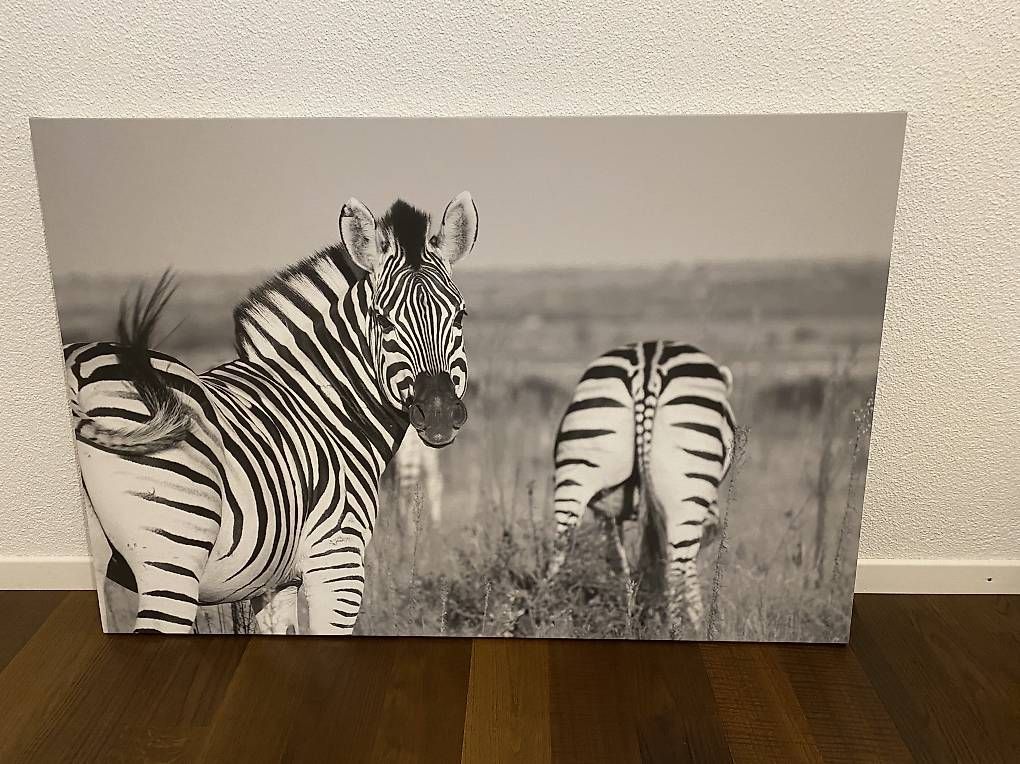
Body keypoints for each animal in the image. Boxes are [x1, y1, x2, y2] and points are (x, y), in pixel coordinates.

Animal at [65, 193, 478, 635]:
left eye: (460, 315)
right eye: (383, 321)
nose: (438, 415)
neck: (324, 408)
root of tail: (76, 373)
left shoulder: (274, 582)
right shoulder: (337, 560)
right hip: (174, 551)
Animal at [547, 341, 735, 635]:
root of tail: (647, 369)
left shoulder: (606, 513)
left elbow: (618, 564)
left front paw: (627, 617)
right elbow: (684, 564)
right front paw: (697, 622)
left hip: (577, 471)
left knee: (559, 551)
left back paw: (547, 618)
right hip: (685, 492)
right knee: (675, 568)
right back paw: (674, 630)